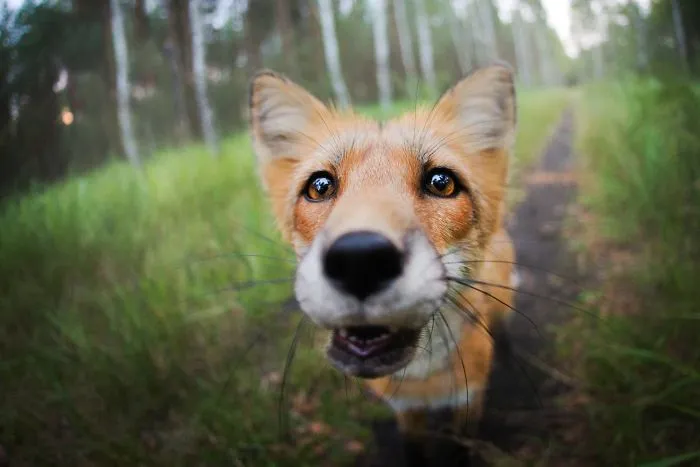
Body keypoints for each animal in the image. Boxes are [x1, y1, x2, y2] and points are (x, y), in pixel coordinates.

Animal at [248, 63, 519, 463]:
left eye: (441, 182)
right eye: (320, 186)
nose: (359, 259)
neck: (426, 382)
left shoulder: (468, 406)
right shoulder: (407, 411)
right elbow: (414, 450)